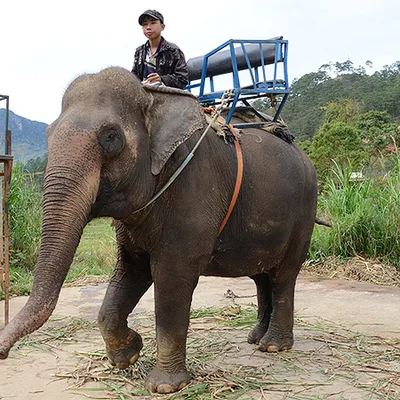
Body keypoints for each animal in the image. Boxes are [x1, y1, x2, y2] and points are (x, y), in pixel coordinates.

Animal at [0, 66, 318, 394]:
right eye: (48, 134)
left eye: (110, 136)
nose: (3, 352)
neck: (153, 97)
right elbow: (131, 271)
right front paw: (128, 356)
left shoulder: (194, 189)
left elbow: (171, 277)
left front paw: (164, 386)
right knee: (261, 276)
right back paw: (255, 338)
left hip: (304, 212)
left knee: (283, 276)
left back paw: (273, 346)